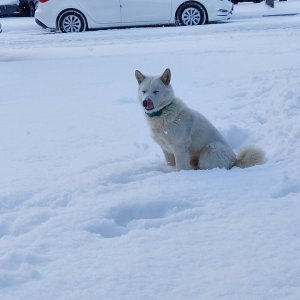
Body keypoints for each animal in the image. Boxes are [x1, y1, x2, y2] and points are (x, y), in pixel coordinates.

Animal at [135, 68, 264, 171]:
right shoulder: (166, 149)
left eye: (156, 91)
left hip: (209, 151)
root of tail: (235, 160)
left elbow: (180, 167)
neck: (162, 113)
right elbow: (170, 164)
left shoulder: (179, 147)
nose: (145, 102)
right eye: (144, 91)